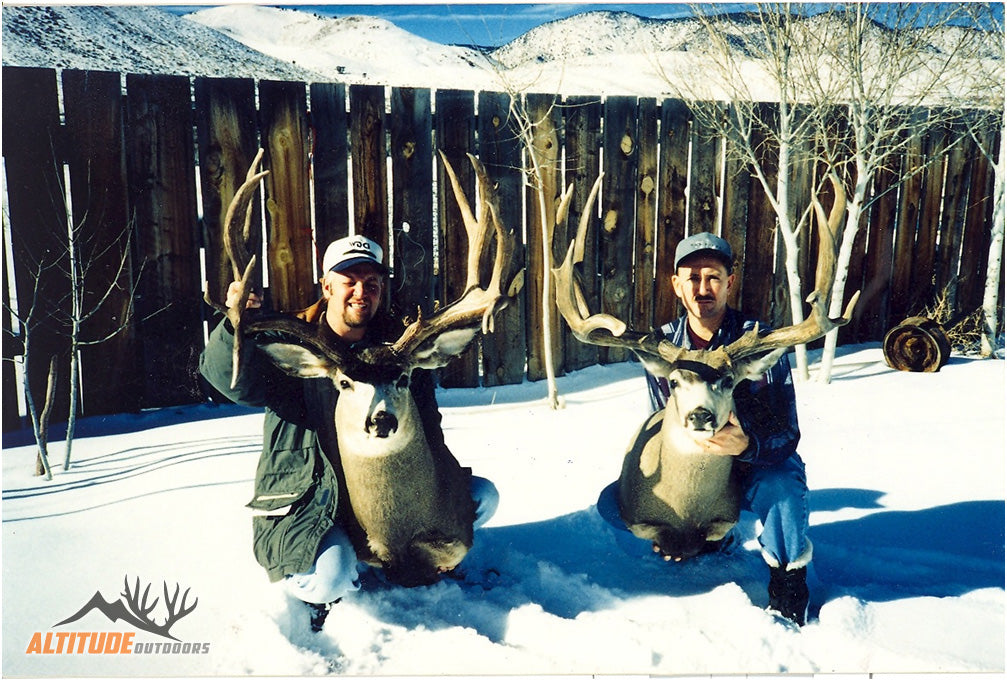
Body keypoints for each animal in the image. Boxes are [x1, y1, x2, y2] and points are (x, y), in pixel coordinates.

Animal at [552, 173, 858, 563]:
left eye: (728, 381)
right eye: (675, 381)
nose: (700, 415)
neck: (685, 507)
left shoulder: (725, 514)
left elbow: (718, 530)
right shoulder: (633, 514)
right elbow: (655, 534)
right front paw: (674, 547)